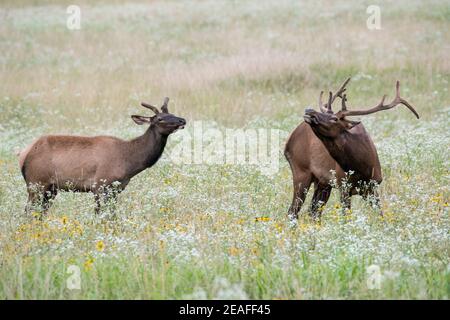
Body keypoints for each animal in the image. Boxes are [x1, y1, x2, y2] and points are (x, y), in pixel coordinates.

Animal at [18, 97, 185, 216]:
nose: (182, 120)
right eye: (159, 119)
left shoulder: (116, 189)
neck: (129, 161)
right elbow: (100, 215)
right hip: (36, 183)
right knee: (28, 212)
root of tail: (23, 155)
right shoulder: (99, 185)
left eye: (171, 113)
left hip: (50, 189)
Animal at [284, 79, 418, 221]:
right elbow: (346, 217)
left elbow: (380, 214)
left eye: (335, 118)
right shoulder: (343, 185)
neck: (362, 167)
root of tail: (288, 141)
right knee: (293, 211)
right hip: (301, 170)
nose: (309, 110)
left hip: (322, 183)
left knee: (313, 211)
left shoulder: (373, 185)